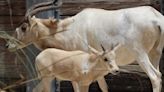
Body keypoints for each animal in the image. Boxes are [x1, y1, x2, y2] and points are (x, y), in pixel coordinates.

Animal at [7, 0, 164, 91]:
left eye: (23, 28)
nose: (9, 45)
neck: (71, 29)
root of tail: (156, 18)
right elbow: (103, 87)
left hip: (140, 54)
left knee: (155, 77)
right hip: (155, 53)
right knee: (160, 74)